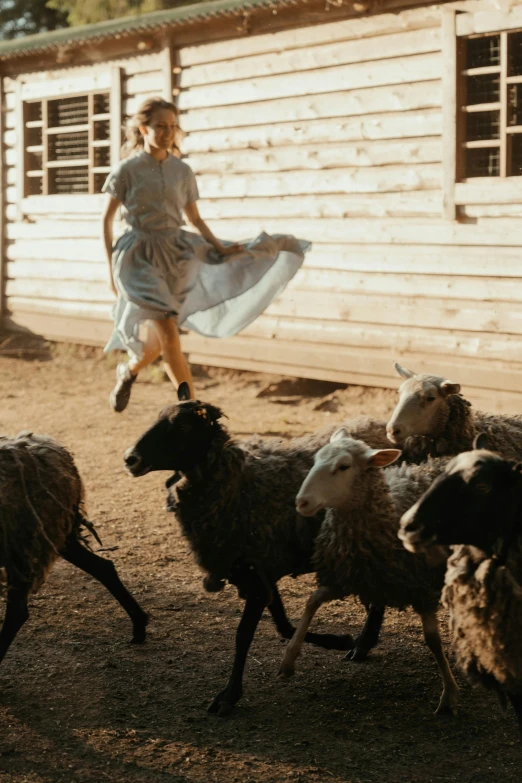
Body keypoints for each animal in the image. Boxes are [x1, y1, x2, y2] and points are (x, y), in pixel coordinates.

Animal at [123, 386, 398, 716]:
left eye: (185, 427)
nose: (130, 458)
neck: (238, 485)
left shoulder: (255, 575)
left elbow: (243, 635)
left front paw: (229, 695)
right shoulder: (259, 570)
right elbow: (282, 625)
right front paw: (337, 640)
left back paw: (364, 642)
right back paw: (361, 644)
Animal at [278, 432, 458, 720]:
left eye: (344, 466)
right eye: (316, 460)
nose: (301, 503)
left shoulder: (421, 588)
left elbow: (432, 640)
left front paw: (449, 694)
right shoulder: (348, 575)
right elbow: (312, 602)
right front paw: (288, 659)